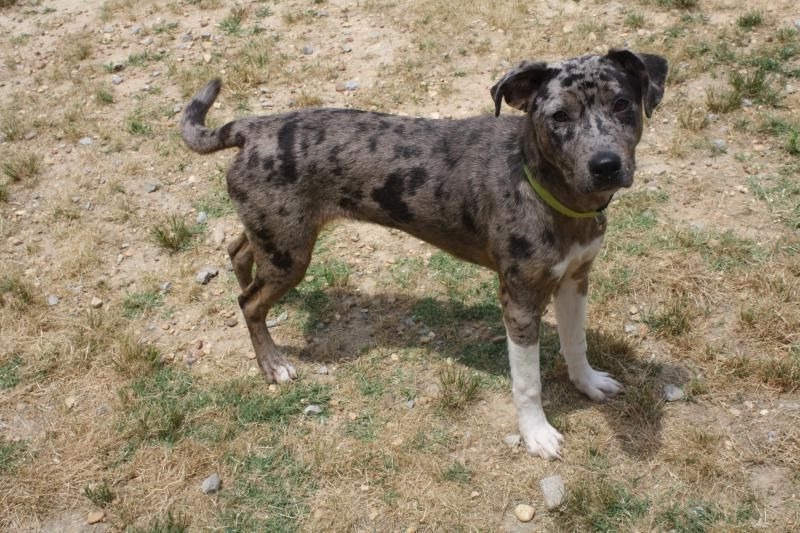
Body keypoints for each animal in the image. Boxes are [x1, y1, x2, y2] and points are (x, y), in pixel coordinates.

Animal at [181, 47, 668, 460]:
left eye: (622, 104)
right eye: (559, 116)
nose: (605, 165)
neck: (546, 188)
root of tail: (252, 128)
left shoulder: (575, 279)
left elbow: (575, 342)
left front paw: (588, 383)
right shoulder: (520, 302)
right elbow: (528, 382)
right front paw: (537, 434)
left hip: (277, 237)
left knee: (239, 251)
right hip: (290, 252)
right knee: (248, 303)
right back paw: (273, 364)